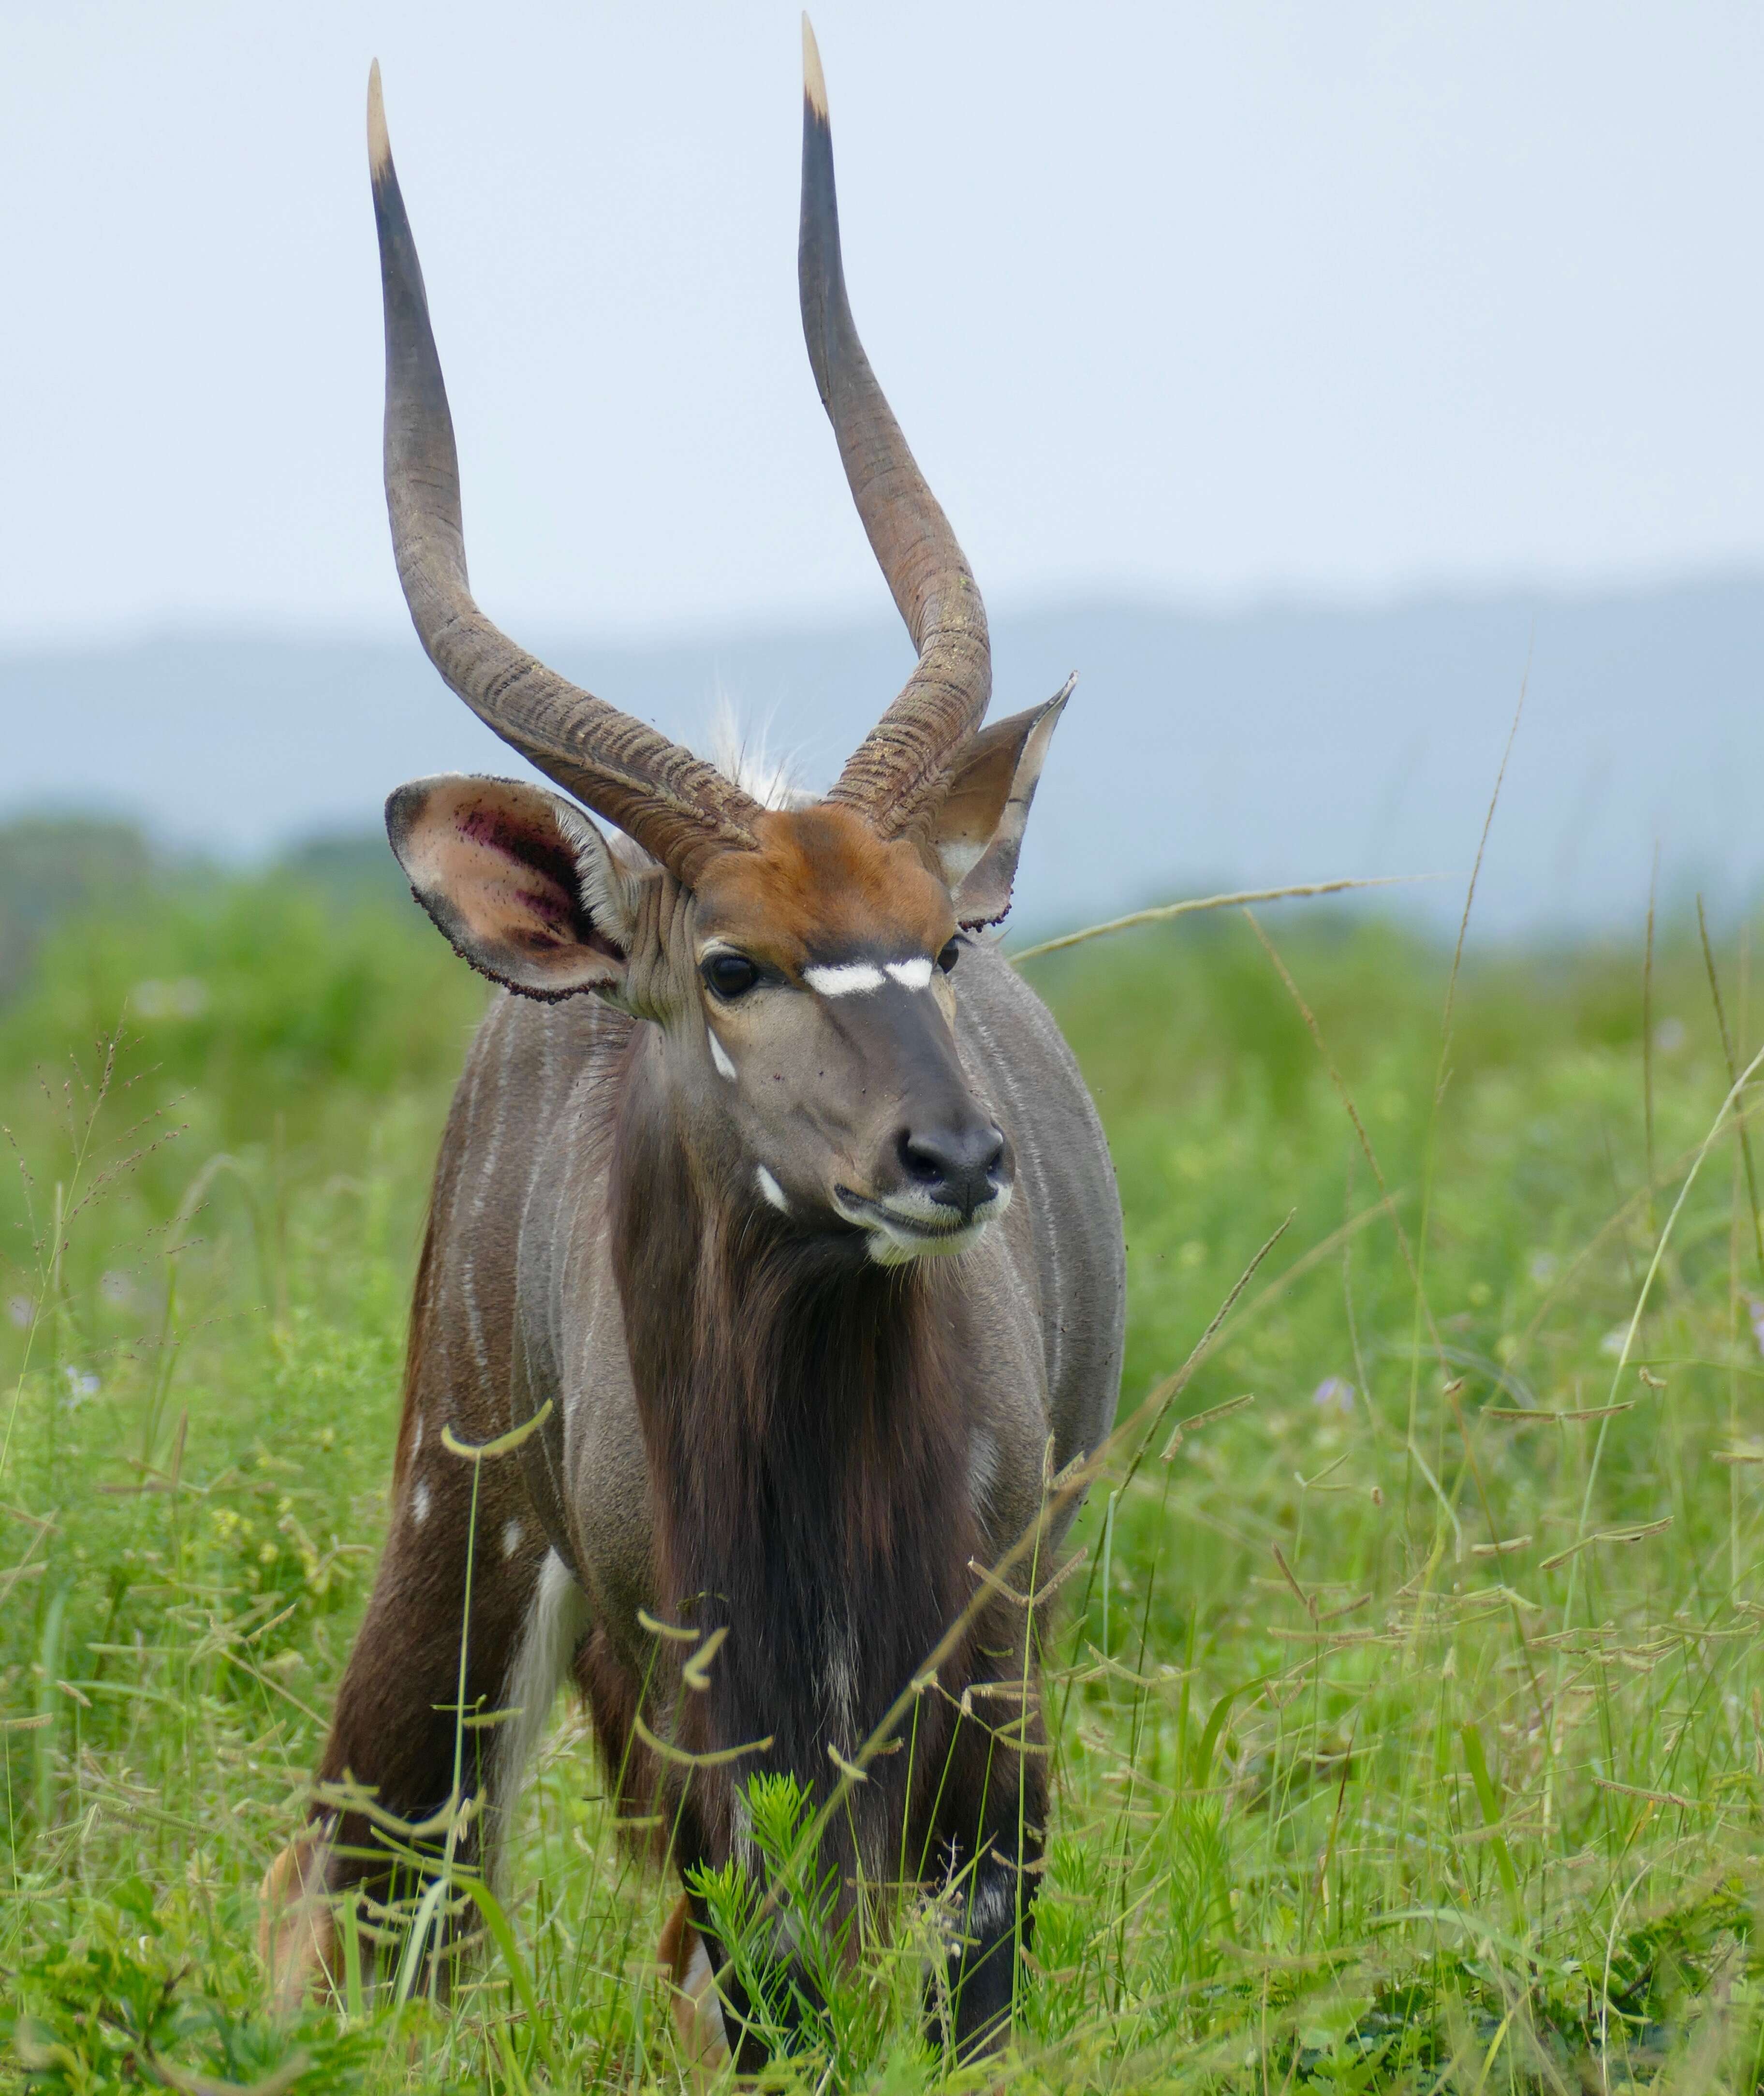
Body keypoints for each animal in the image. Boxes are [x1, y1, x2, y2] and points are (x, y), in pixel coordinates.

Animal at [268, 24, 1123, 2070]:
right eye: (733, 964)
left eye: (935, 939)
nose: (948, 1161)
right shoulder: (681, 1700)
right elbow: (754, 1984)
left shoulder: (986, 1682)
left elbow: (963, 1985)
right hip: (452, 1528)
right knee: (374, 1886)